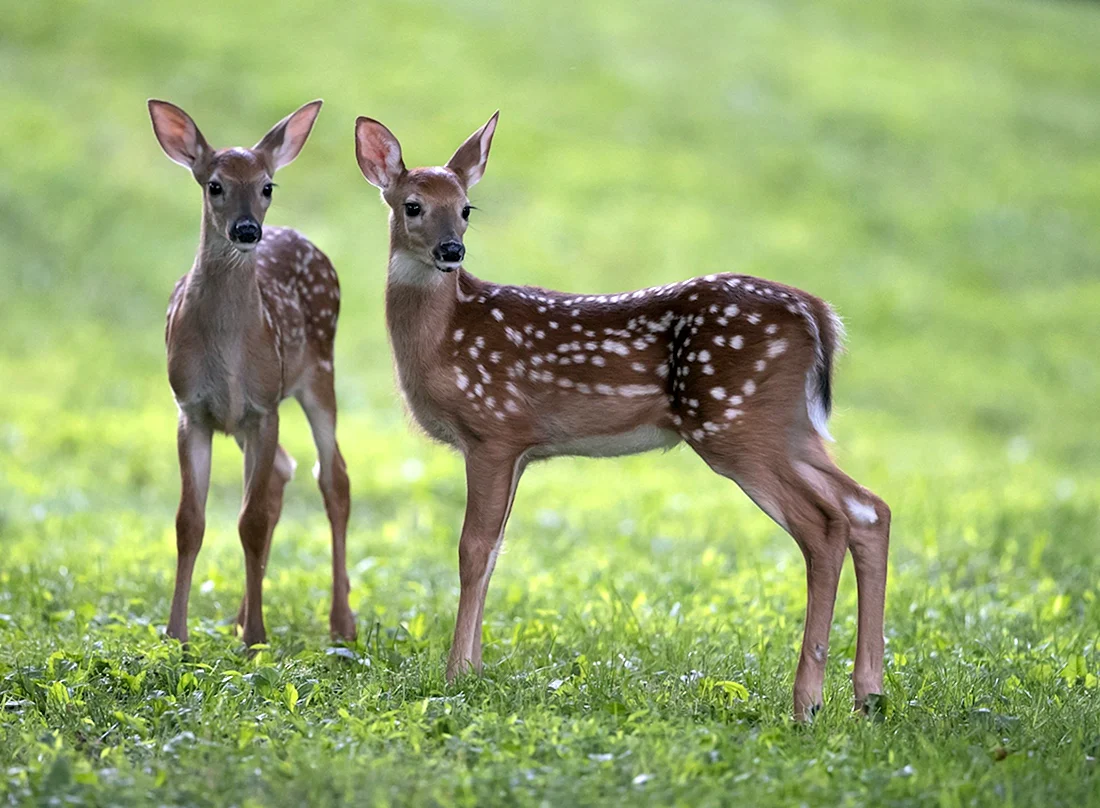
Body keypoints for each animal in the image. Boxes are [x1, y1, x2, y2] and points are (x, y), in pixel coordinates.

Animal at [148, 99, 355, 649]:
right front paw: (176, 635)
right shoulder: (191, 409)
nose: (246, 230)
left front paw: (257, 638)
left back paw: (341, 622)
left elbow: (252, 521)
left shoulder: (264, 406)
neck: (226, 349)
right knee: (283, 471)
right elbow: (189, 522)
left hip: (319, 373)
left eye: (267, 186)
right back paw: (240, 614)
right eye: (214, 185)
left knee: (334, 479)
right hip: (243, 421)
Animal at [353, 111, 891, 721]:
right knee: (867, 508)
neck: (444, 337)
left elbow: (472, 549)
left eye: (467, 208)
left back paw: (806, 703)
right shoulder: (519, 448)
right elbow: (495, 551)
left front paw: (455, 675)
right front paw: (476, 669)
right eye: (412, 205)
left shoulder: (493, 428)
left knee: (823, 527)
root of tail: (819, 314)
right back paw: (868, 694)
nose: (451, 251)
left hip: (734, 423)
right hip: (792, 427)